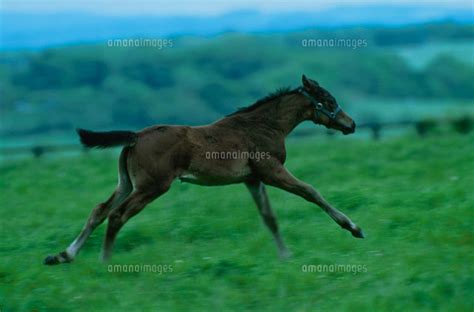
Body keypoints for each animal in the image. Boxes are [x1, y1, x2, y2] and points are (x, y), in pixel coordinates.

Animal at [44, 74, 362, 264]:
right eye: (329, 101)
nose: (351, 124)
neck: (263, 126)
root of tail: (135, 137)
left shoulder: (253, 179)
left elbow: (269, 218)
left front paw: (285, 256)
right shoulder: (271, 171)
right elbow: (311, 191)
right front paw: (353, 228)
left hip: (127, 183)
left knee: (99, 210)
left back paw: (63, 256)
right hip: (152, 186)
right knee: (118, 215)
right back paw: (105, 261)